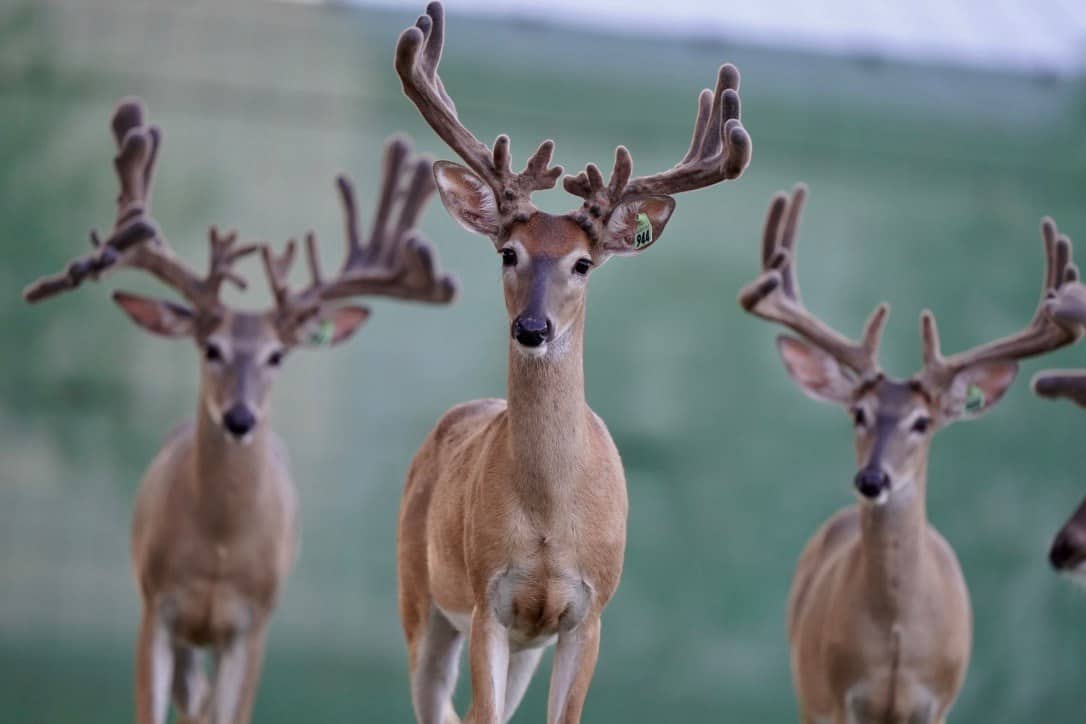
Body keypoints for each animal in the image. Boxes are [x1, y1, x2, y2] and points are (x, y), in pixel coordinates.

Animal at [22, 98, 455, 724]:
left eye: (277, 355)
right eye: (210, 348)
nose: (240, 419)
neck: (220, 549)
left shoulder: (253, 624)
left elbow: (228, 711)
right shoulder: (157, 605)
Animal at [391, 3, 751, 723]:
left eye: (583, 263)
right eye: (509, 252)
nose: (532, 328)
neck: (550, 522)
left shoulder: (588, 612)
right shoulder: (488, 602)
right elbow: (480, 715)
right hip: (421, 596)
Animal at [738, 186, 1081, 724]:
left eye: (922, 422)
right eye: (858, 413)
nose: (872, 480)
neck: (897, 640)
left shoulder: (938, 702)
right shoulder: (833, 697)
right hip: (806, 686)